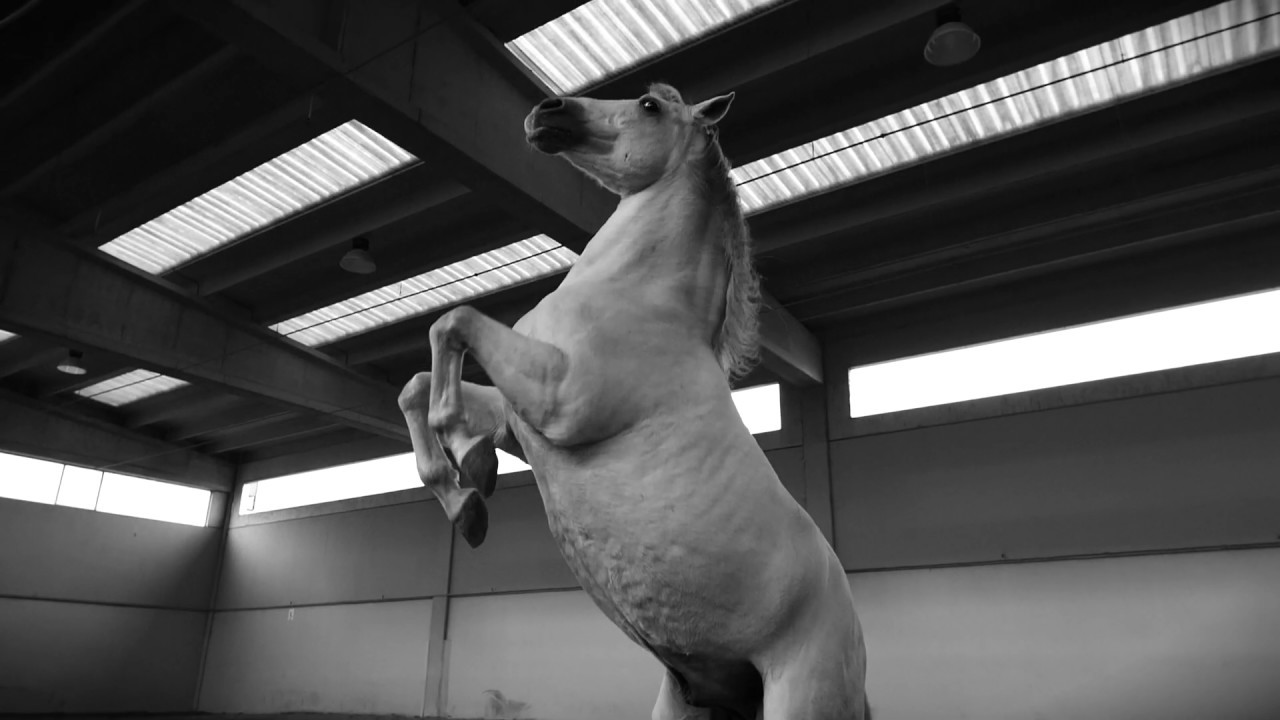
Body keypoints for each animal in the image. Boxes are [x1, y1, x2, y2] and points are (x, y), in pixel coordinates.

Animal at [397, 83, 869, 720]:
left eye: (650, 105)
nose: (546, 112)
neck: (644, 302)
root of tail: (857, 662)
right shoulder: (520, 419)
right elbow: (418, 384)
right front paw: (467, 492)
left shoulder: (559, 399)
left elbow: (454, 323)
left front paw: (469, 471)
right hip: (686, 701)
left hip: (799, 698)